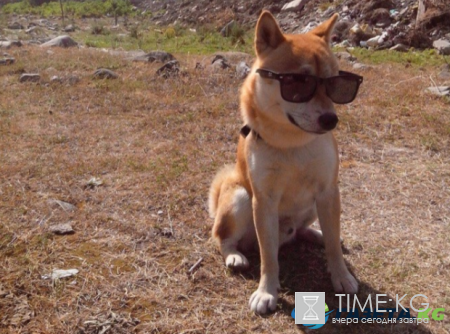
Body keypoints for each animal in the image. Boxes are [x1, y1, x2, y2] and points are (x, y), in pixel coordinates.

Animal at [207, 9, 362, 314]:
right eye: (298, 82)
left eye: (335, 82)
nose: (331, 119)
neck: (293, 143)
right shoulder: (264, 200)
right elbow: (268, 256)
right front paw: (266, 292)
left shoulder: (328, 191)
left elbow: (334, 249)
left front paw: (341, 276)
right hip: (240, 197)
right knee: (223, 237)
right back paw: (234, 256)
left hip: (315, 204)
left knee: (304, 230)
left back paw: (315, 233)